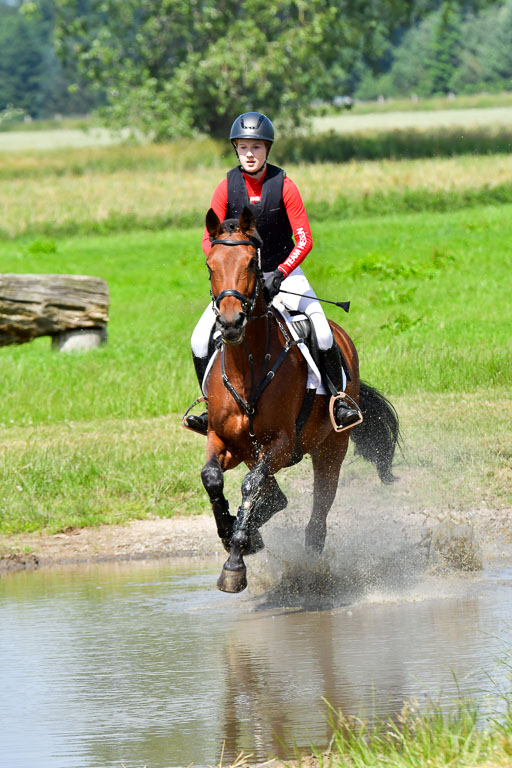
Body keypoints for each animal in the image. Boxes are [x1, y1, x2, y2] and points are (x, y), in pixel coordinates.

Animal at [198, 206, 400, 593]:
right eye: (210, 265)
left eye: (251, 263)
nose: (230, 323)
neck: (248, 365)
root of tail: (342, 336)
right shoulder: (223, 438)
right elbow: (212, 477)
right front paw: (231, 533)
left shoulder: (280, 443)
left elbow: (251, 486)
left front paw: (235, 563)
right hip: (252, 450)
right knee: (274, 495)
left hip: (330, 449)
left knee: (317, 515)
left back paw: (311, 572)